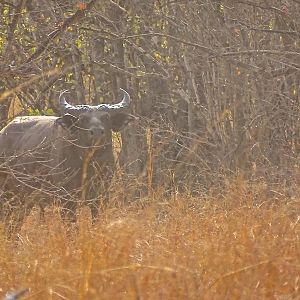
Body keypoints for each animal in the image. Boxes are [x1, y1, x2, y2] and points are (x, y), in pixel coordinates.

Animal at [0, 88, 133, 229]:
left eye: (106, 117)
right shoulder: (67, 200)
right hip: (7, 195)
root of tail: (3, 132)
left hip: (23, 200)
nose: (97, 132)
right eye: (82, 118)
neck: (88, 164)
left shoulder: (100, 198)